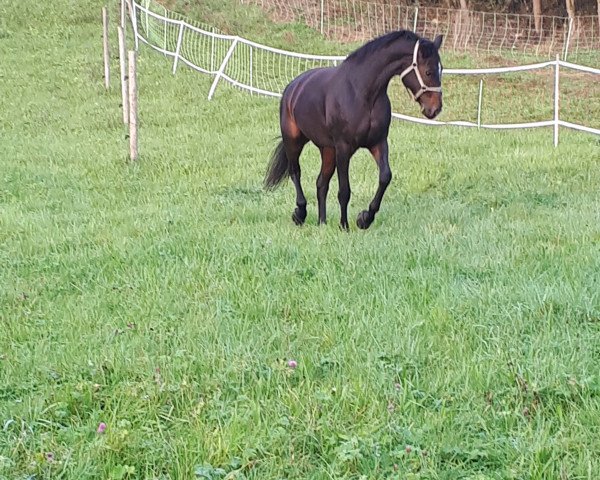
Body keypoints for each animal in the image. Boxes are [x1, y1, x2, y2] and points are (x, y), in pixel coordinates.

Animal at [264, 31, 442, 231]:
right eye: (428, 72)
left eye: (441, 69)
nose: (435, 109)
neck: (362, 93)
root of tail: (293, 88)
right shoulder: (344, 148)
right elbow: (344, 190)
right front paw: (344, 225)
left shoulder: (378, 143)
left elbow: (385, 176)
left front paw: (364, 218)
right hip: (294, 141)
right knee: (296, 173)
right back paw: (300, 214)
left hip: (327, 150)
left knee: (321, 183)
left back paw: (322, 222)